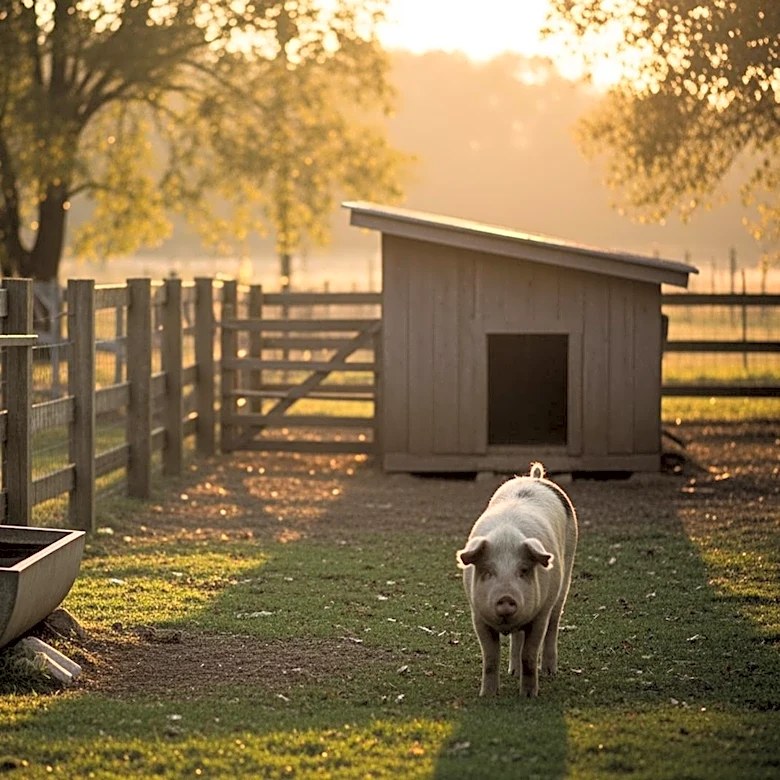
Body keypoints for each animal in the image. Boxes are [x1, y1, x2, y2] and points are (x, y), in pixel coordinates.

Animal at [456, 463, 578, 697]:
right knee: (517, 638)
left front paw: (529, 696)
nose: (506, 598)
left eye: (523, 571)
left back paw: (550, 672)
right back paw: (513, 672)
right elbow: (491, 658)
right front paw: (487, 695)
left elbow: (529, 655)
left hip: (565, 575)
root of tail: (535, 478)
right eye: (488, 571)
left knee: (553, 625)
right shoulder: (478, 616)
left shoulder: (539, 616)